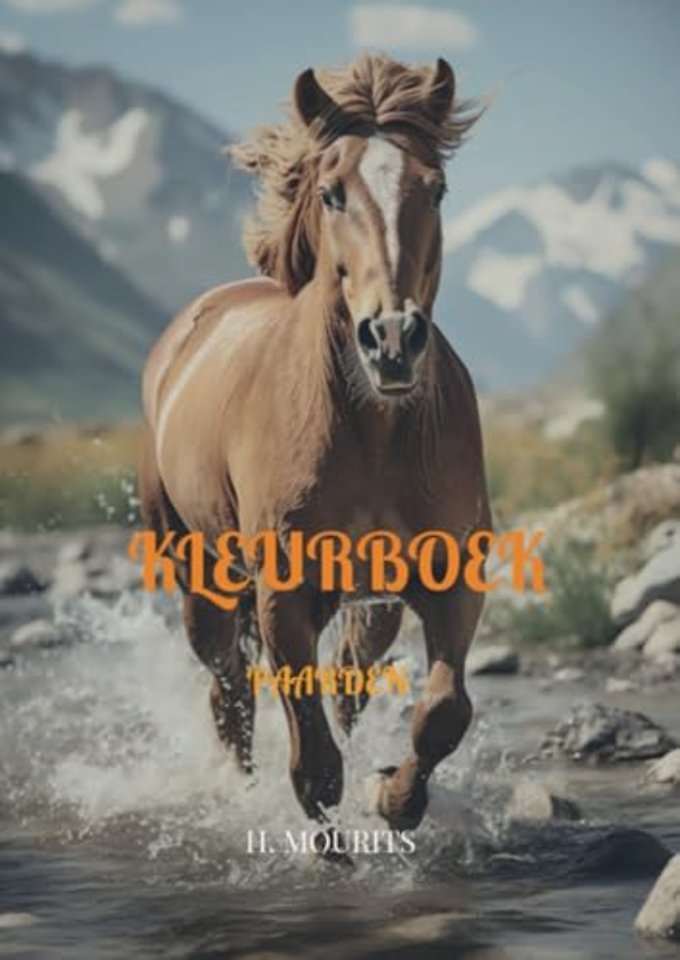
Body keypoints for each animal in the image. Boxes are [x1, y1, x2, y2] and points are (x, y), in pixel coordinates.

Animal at [138, 54, 490, 845]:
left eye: (437, 188)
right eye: (332, 193)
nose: (392, 340)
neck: (375, 432)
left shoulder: (449, 576)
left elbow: (443, 711)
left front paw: (395, 800)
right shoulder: (284, 592)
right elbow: (309, 744)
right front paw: (325, 835)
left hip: (369, 603)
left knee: (344, 686)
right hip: (199, 576)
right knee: (230, 691)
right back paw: (238, 792)